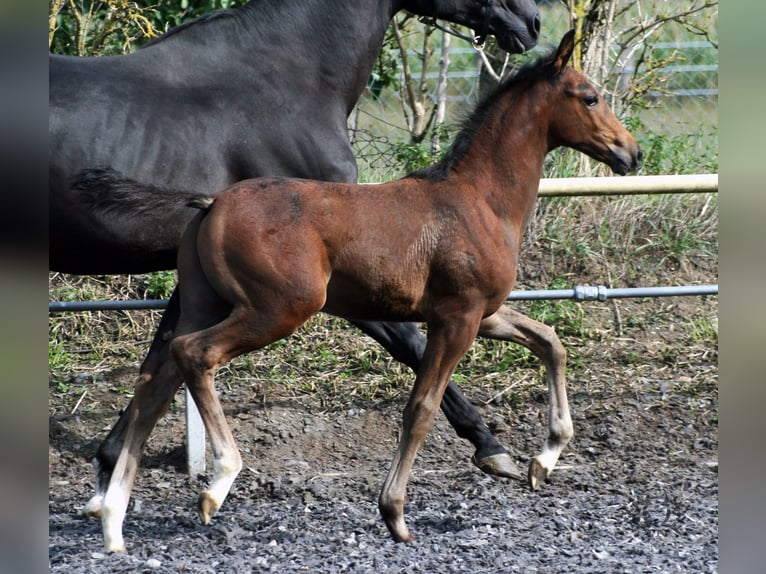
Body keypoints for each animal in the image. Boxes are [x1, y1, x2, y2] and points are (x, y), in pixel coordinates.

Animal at [51, 0, 542, 512]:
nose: (531, 23)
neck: (288, 81)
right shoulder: (339, 283)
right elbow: (413, 344)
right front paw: (492, 446)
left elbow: (160, 359)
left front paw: (109, 468)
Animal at [94, 31, 641, 551]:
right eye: (590, 97)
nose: (630, 153)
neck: (479, 201)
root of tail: (210, 204)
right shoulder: (457, 318)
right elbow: (420, 408)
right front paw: (394, 514)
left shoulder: (480, 313)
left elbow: (550, 341)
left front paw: (543, 460)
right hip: (279, 308)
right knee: (194, 355)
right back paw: (219, 480)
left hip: (205, 302)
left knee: (154, 382)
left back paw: (113, 522)